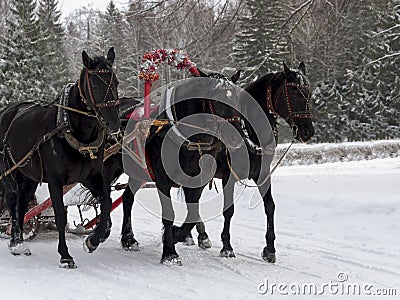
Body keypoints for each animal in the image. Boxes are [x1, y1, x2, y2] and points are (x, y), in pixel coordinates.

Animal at [0, 48, 119, 268]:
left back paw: (19, 242)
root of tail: (8, 111)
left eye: (115, 82)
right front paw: (65, 255)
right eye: (95, 84)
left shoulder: (91, 177)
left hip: (29, 175)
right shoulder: (55, 181)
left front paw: (93, 240)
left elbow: (106, 201)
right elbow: (60, 216)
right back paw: (15, 242)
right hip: (8, 170)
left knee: (22, 203)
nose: (114, 124)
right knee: (12, 200)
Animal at [173, 62, 314, 262]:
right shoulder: (229, 176)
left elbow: (270, 206)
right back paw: (197, 235)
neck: (249, 131)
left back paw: (198, 235)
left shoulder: (262, 174)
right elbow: (229, 210)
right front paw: (227, 246)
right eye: (294, 92)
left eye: (308, 92)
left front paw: (270, 248)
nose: (308, 130)